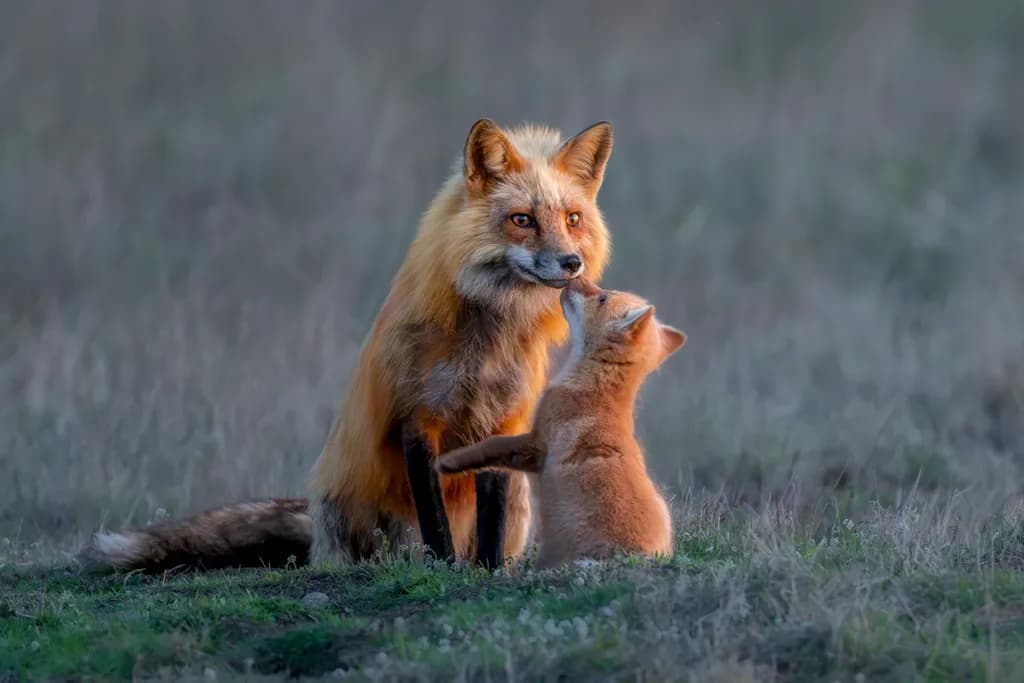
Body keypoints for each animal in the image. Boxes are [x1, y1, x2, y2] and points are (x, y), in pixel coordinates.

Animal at [81, 119, 613, 572]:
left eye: (572, 219)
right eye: (522, 220)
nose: (570, 263)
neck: (485, 344)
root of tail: (317, 531)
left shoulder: (504, 419)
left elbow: (491, 520)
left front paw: (486, 572)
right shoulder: (416, 418)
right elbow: (434, 523)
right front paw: (443, 569)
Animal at [436, 279, 686, 569]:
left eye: (602, 298)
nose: (577, 278)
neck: (595, 388)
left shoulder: (535, 445)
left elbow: (489, 445)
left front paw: (447, 463)